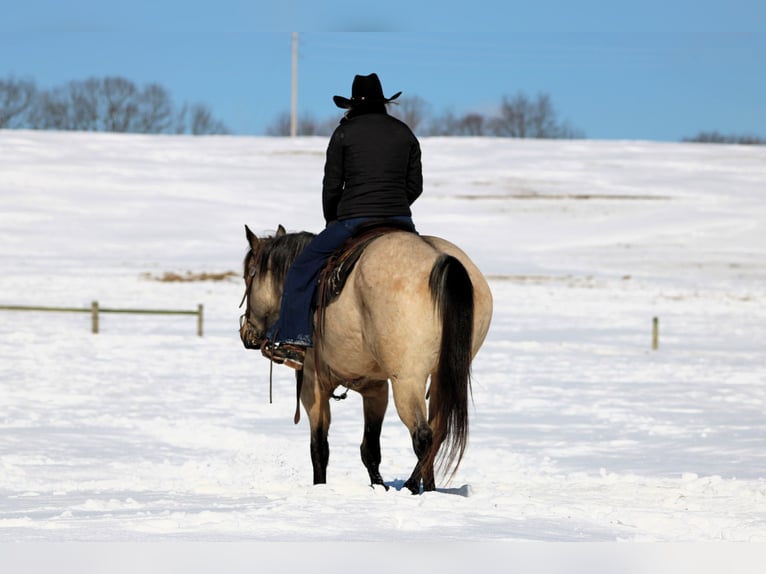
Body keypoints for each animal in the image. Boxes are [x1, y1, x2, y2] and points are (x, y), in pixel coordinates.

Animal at [240, 224, 492, 493]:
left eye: (248, 276)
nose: (247, 333)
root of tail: (440, 258)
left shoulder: (312, 383)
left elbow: (319, 448)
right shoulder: (375, 388)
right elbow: (370, 449)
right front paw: (379, 487)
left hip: (407, 379)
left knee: (423, 435)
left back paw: (411, 486)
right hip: (439, 377)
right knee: (438, 430)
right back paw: (429, 488)